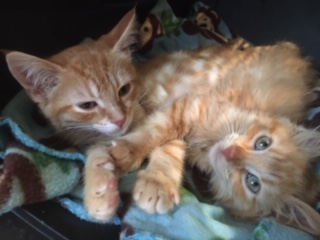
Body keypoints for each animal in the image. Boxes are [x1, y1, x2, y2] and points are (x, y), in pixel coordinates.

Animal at [102, 42, 320, 234]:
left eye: (253, 183)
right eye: (263, 143)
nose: (230, 152)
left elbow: (168, 141)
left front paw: (157, 181)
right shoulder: (192, 106)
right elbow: (160, 129)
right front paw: (129, 151)